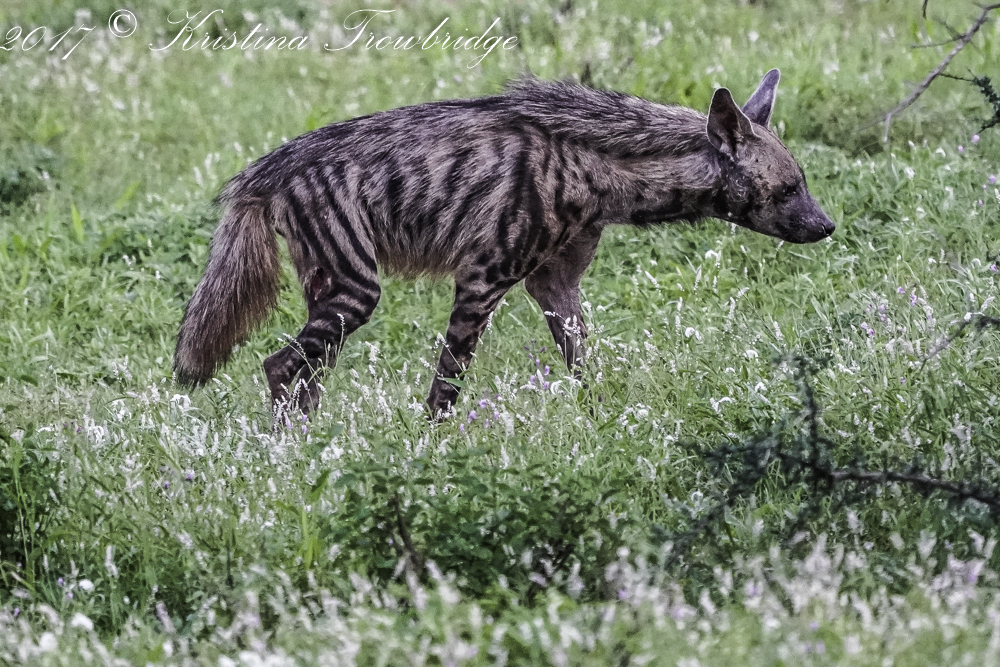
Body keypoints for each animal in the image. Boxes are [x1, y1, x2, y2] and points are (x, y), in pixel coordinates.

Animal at [174, 69, 834, 417]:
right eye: (788, 188)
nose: (827, 226)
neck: (601, 173)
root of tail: (266, 171)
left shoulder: (555, 282)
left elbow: (582, 363)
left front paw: (607, 422)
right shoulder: (483, 277)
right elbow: (446, 385)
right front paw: (431, 450)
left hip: (329, 293)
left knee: (306, 374)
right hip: (356, 289)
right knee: (279, 365)